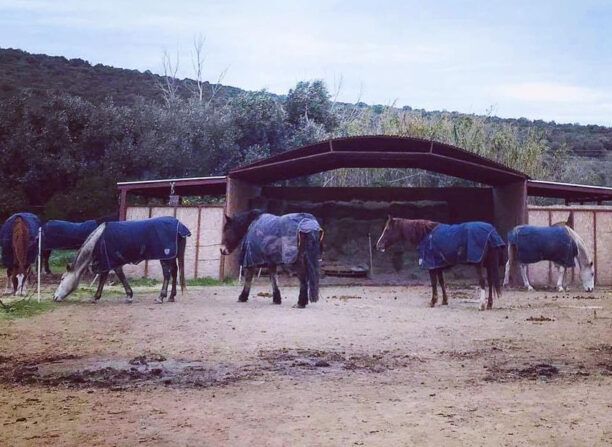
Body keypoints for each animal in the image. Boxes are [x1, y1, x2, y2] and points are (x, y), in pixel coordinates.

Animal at [53, 217, 190, 304]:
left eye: (62, 278)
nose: (54, 297)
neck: (98, 240)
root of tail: (179, 226)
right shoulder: (111, 262)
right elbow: (115, 277)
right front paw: (128, 296)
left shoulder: (109, 262)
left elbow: (109, 277)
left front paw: (96, 297)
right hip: (171, 256)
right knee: (174, 272)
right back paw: (171, 296)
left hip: (164, 257)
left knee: (167, 275)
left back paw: (161, 297)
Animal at [376, 218, 504, 312]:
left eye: (387, 230)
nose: (378, 245)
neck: (426, 235)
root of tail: (491, 233)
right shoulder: (438, 266)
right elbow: (441, 281)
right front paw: (444, 301)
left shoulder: (431, 266)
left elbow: (433, 283)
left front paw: (433, 301)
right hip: (488, 264)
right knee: (491, 282)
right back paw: (489, 304)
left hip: (478, 264)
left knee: (482, 282)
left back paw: (481, 305)